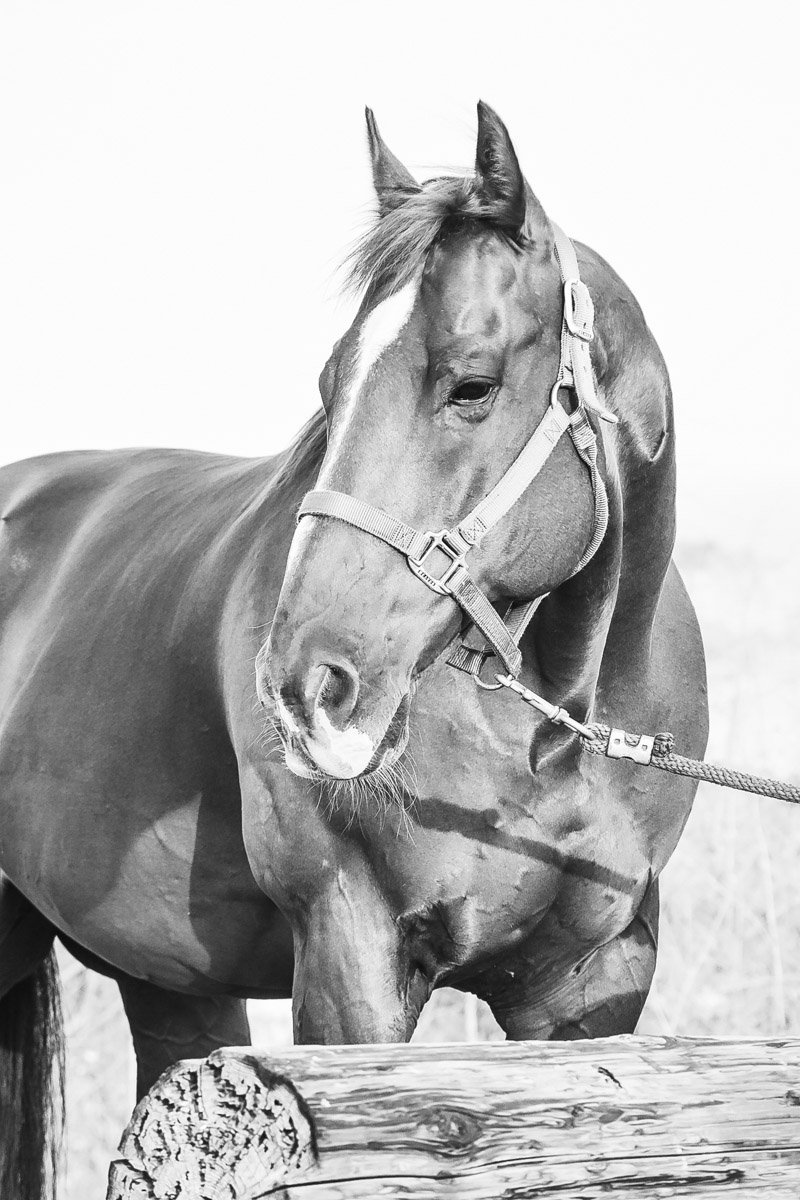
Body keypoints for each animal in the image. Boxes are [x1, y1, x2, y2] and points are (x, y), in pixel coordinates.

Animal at [0, 102, 707, 1200]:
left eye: (472, 384)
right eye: (330, 384)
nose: (307, 687)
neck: (554, 736)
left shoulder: (591, 985)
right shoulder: (350, 951)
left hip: (167, 977)